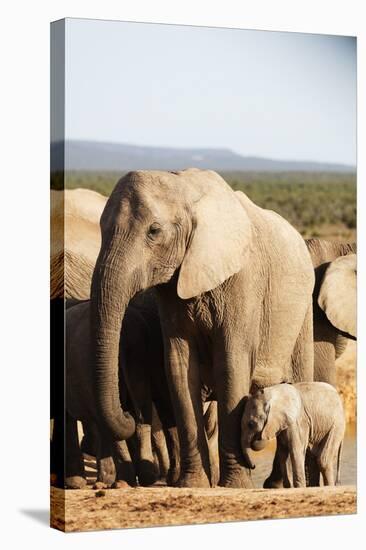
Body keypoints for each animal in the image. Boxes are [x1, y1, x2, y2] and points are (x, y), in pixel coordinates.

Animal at [89, 170, 314, 490]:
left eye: (154, 231)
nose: (130, 414)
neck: (185, 188)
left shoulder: (243, 279)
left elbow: (231, 365)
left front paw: (234, 486)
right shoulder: (172, 288)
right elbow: (180, 367)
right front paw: (193, 484)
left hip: (303, 311)